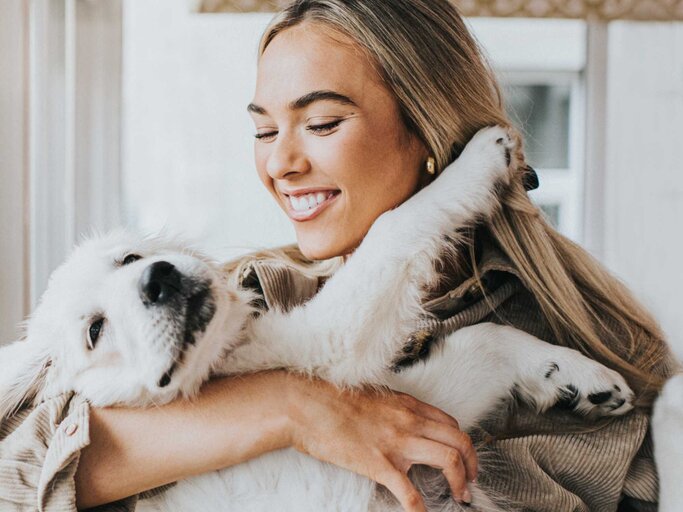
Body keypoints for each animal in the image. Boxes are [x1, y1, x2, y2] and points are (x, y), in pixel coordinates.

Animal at [2, 126, 640, 510]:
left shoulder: (428, 423)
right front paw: (480, 158)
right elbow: (397, 226)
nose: (159, 277)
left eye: (129, 258)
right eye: (95, 330)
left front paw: (578, 378)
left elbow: (485, 338)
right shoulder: (331, 347)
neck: (226, 361)